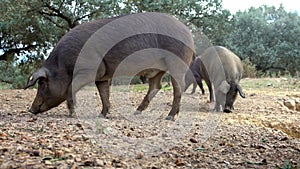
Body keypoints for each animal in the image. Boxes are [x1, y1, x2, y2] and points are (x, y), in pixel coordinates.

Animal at [24, 12, 196, 120]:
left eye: (42, 83)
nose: (30, 110)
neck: (63, 66)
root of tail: (188, 32)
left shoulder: (89, 70)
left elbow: (70, 89)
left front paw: (73, 114)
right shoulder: (102, 76)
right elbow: (104, 94)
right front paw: (101, 115)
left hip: (177, 61)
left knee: (178, 87)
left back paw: (170, 117)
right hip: (158, 69)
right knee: (155, 86)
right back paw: (136, 113)